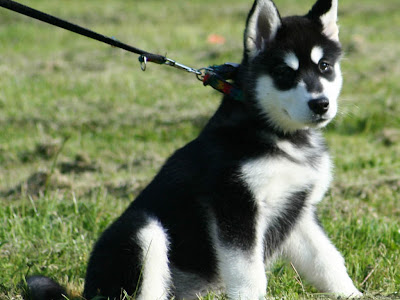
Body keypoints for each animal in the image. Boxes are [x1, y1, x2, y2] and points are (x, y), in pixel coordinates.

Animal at [26, 0, 360, 300]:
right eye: (284, 72)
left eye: (325, 67)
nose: (320, 104)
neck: (282, 137)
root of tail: (86, 292)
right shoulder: (234, 206)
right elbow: (249, 274)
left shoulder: (298, 208)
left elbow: (327, 260)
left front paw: (353, 294)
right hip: (143, 230)